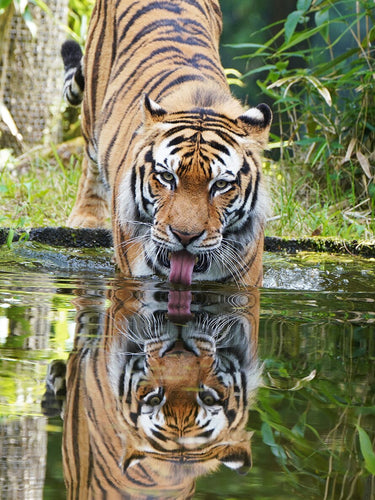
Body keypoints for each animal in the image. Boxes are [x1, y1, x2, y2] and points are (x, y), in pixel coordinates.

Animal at [61, 0, 274, 286]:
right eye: (167, 177)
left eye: (220, 185)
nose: (185, 237)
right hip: (92, 110)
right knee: (90, 163)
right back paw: (86, 218)